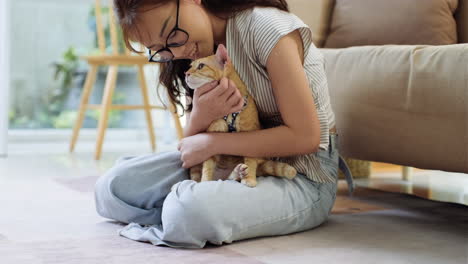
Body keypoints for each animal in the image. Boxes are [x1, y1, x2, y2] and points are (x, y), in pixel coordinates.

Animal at [183, 43, 296, 188]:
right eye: (190, 66)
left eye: (201, 66)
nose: (186, 73)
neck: (229, 114)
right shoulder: (211, 141)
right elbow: (207, 166)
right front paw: (205, 182)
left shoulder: (250, 135)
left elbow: (250, 161)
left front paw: (250, 179)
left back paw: (239, 172)